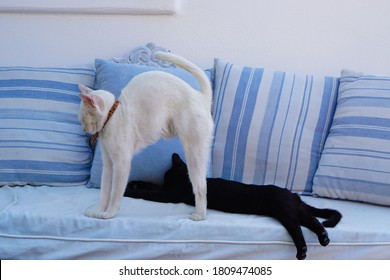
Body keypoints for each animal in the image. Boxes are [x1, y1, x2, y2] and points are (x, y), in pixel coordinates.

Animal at [78, 51, 213, 220]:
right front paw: (97, 211)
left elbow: (115, 193)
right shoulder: (108, 163)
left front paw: (109, 213)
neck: (113, 116)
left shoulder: (121, 163)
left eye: (83, 118)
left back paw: (200, 216)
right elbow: (104, 191)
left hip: (193, 153)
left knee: (201, 186)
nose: (83, 129)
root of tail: (200, 96)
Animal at [125, 153, 342, 260]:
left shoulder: (169, 195)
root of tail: (292, 194)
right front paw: (134, 182)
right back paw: (323, 237)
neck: (185, 180)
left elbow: (150, 192)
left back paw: (303, 250)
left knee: (298, 228)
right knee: (313, 220)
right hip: (295, 210)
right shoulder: (166, 190)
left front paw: (128, 191)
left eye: (167, 174)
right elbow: (150, 186)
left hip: (285, 212)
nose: (165, 177)